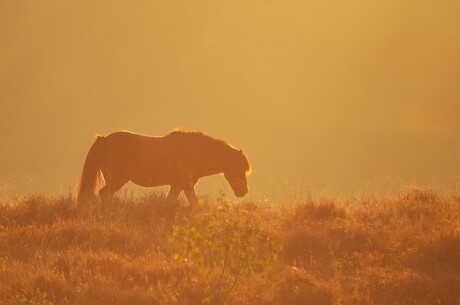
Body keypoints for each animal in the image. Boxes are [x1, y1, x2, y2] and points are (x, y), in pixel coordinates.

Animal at [77, 130, 253, 204]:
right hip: (117, 179)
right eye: (238, 168)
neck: (196, 151)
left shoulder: (185, 186)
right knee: (104, 194)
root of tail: (104, 140)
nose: (243, 191)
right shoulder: (179, 184)